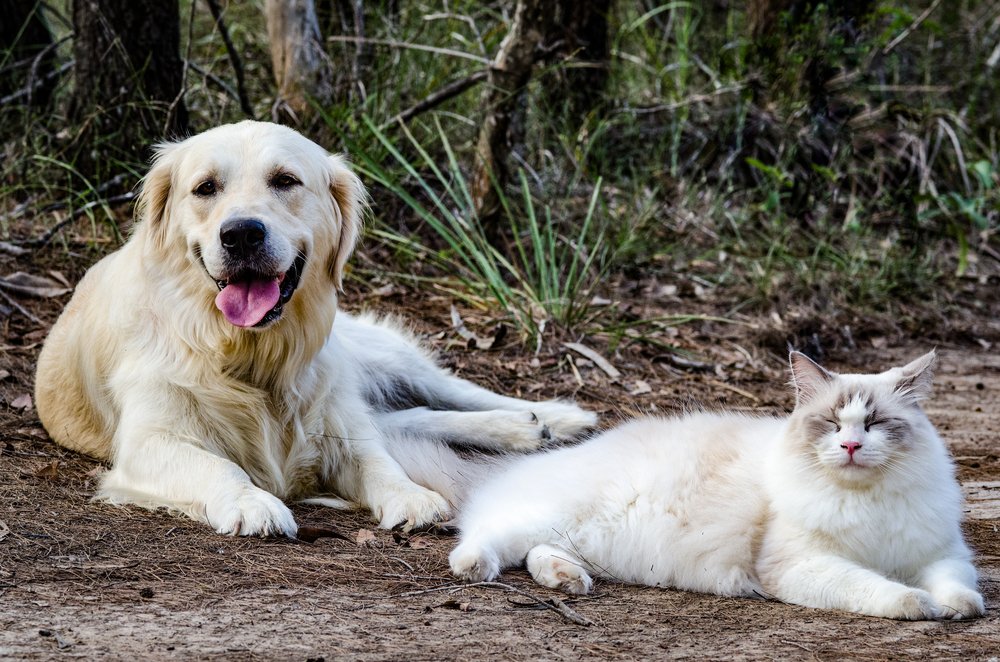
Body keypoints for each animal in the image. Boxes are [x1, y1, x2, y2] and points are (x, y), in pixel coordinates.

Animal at [35, 120, 596, 540]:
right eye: (205, 188)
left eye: (285, 180)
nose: (241, 234)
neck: (249, 352)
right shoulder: (149, 441)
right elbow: (219, 466)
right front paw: (253, 503)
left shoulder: (337, 422)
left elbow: (377, 461)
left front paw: (411, 496)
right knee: (407, 416)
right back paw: (523, 427)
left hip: (372, 357)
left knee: (449, 391)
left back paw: (550, 418)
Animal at [452, 352, 984, 624]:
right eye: (832, 424)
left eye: (874, 424)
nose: (851, 445)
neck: (863, 499)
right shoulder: (802, 565)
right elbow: (881, 589)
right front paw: (921, 606)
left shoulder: (939, 553)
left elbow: (959, 587)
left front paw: (956, 608)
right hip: (551, 516)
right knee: (487, 534)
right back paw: (475, 567)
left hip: (582, 538)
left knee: (539, 552)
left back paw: (567, 581)